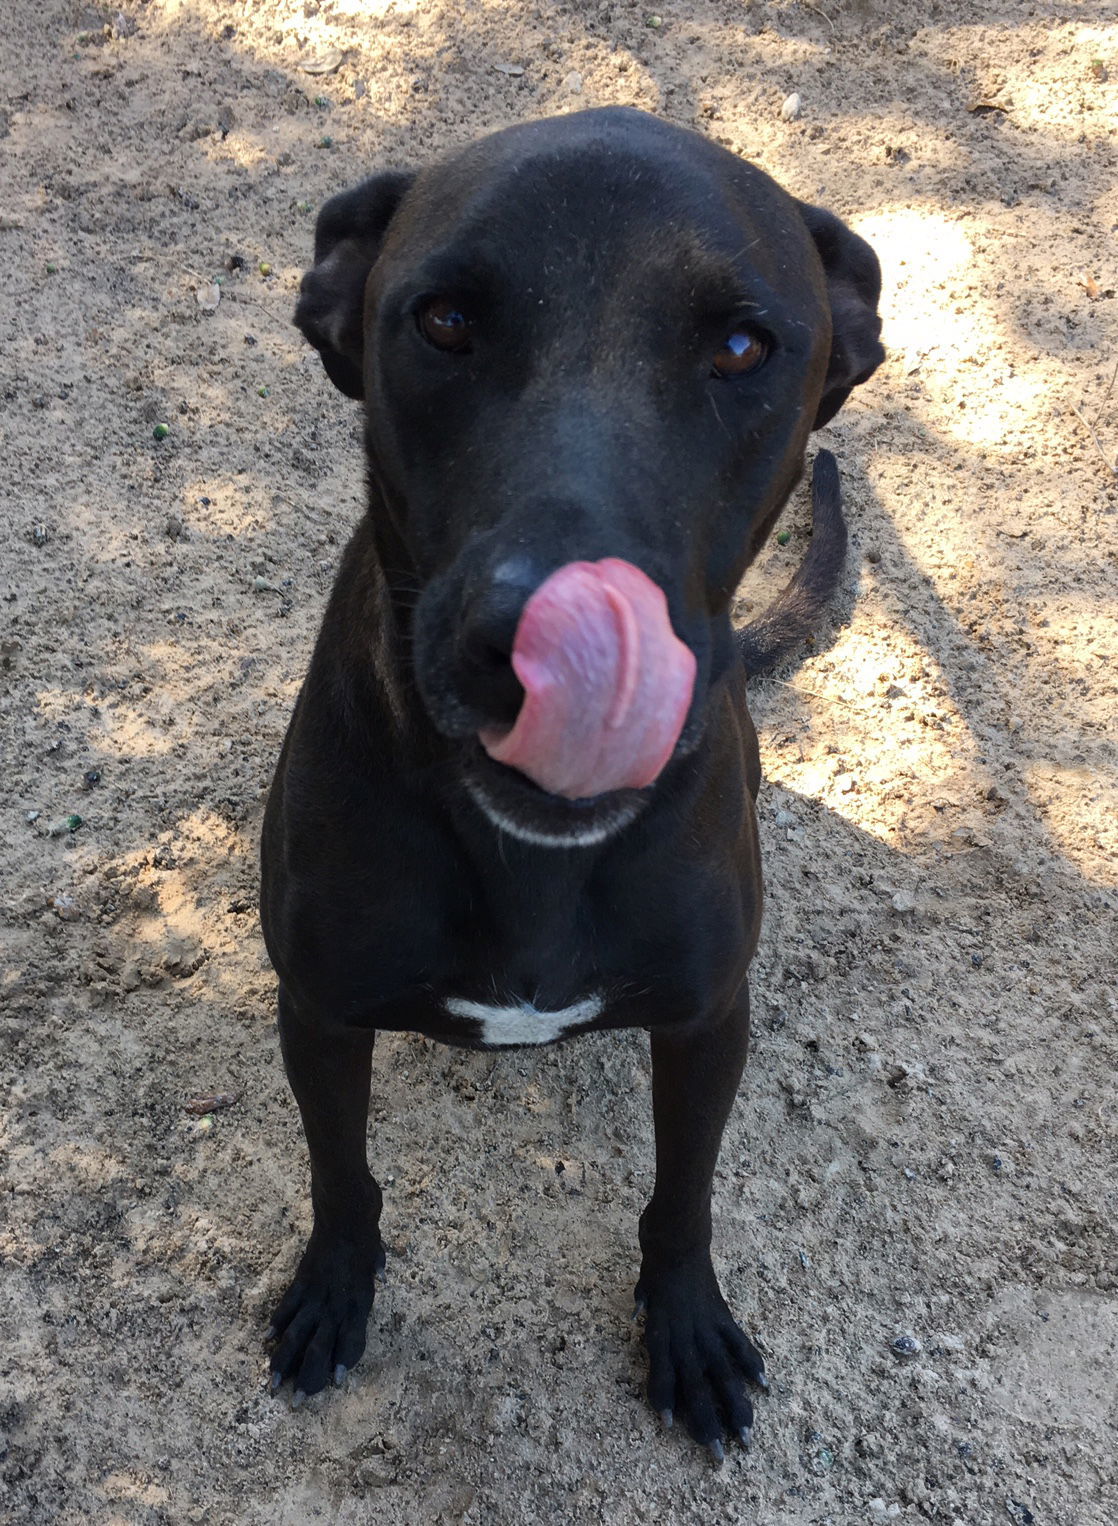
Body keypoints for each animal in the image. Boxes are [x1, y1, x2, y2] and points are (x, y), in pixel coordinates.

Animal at [259, 107, 878, 1452]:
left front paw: (685, 1322)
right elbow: (339, 1172)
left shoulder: (707, 1019)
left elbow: (682, 1193)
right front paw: (334, 1286)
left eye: (741, 346)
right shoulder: (317, 1011)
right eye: (444, 321)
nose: (530, 647)